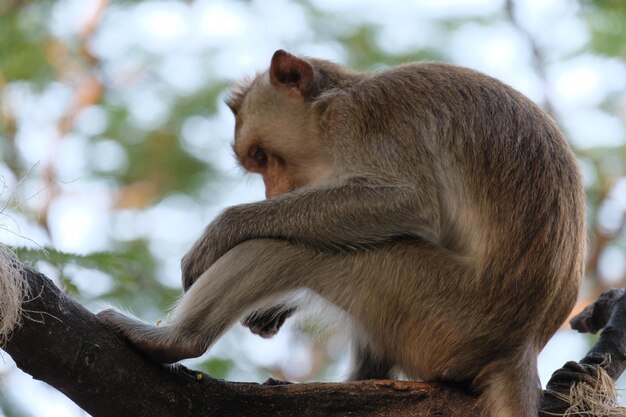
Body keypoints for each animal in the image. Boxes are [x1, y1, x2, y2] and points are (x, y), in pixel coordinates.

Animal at [98, 49, 584, 416]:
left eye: (261, 156)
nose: (274, 193)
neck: (332, 102)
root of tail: (519, 348)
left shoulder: (364, 118)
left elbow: (409, 202)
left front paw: (223, 229)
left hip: (441, 307)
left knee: (290, 250)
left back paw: (174, 340)